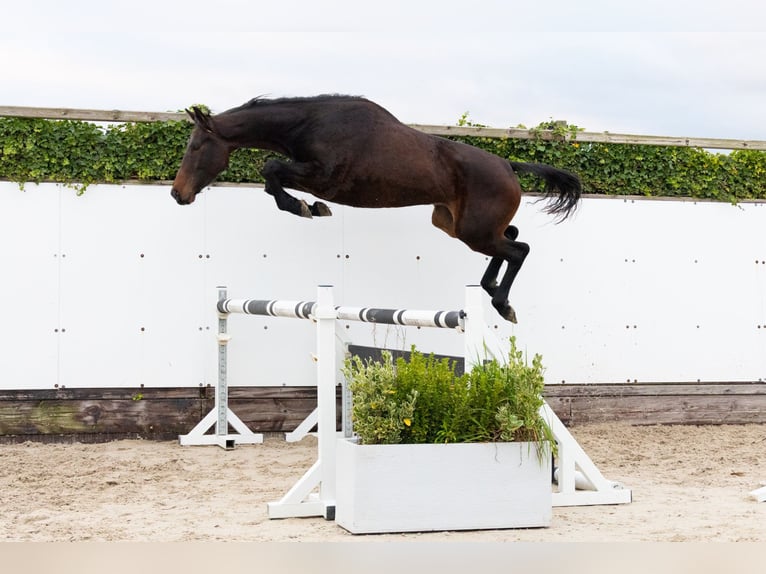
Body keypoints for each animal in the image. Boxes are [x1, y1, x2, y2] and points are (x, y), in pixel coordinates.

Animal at [171, 95, 581, 323]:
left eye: (195, 147)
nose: (177, 194)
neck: (310, 124)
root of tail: (508, 166)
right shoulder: (312, 175)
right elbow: (272, 174)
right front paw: (309, 207)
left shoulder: (324, 177)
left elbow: (270, 169)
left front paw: (305, 207)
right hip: (453, 224)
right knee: (510, 238)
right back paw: (491, 287)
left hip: (472, 231)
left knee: (519, 249)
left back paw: (501, 303)